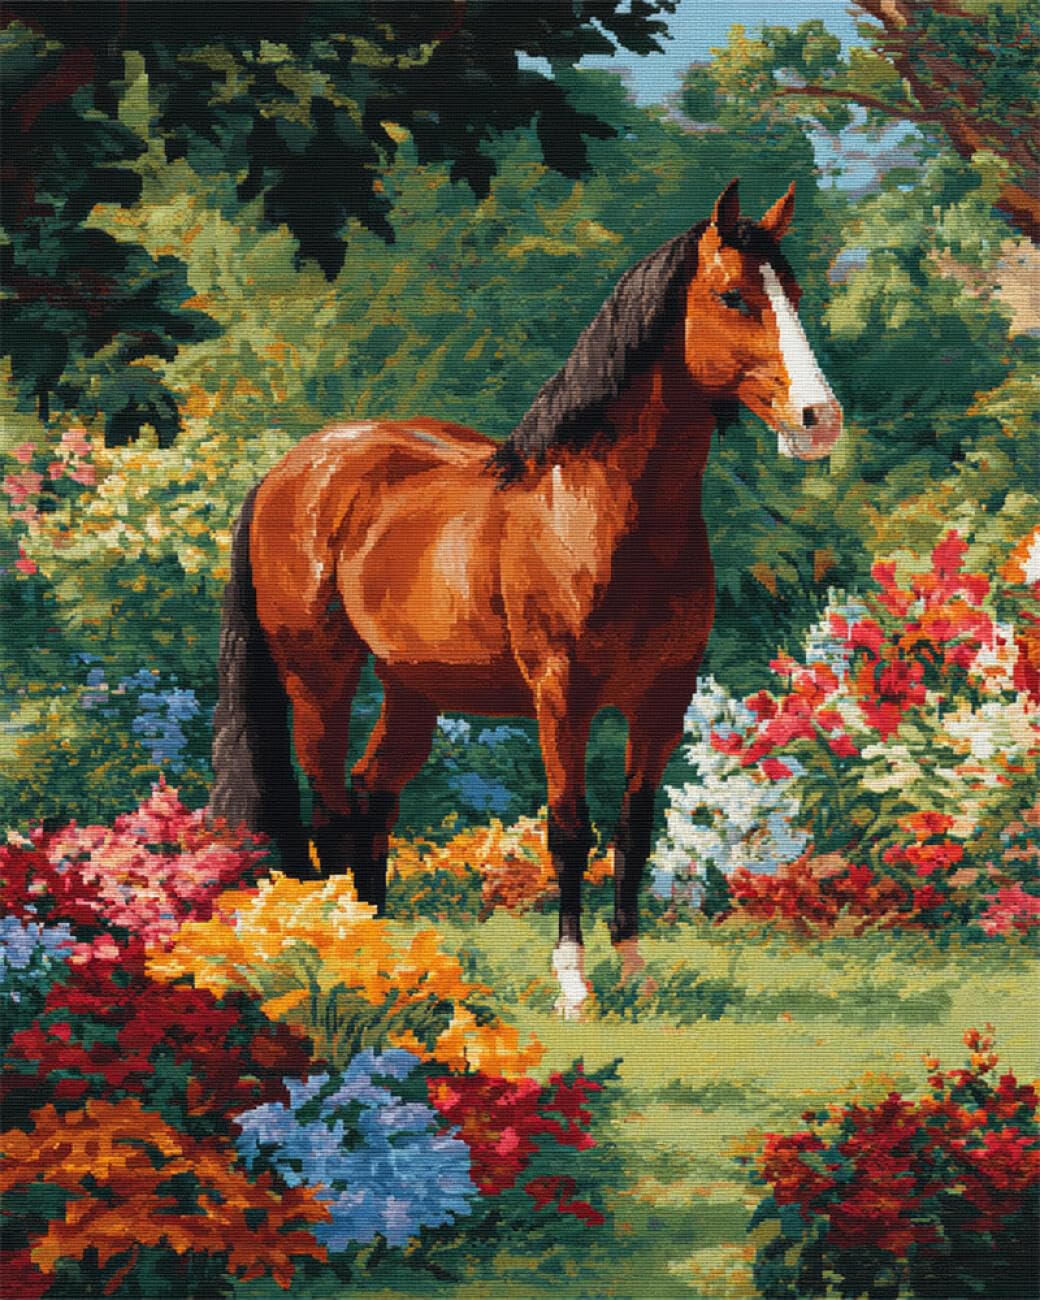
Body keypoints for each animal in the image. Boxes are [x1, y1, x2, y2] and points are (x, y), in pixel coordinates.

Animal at [209, 179, 842, 1018]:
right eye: (734, 296)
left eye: (793, 293)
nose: (819, 420)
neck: (602, 510)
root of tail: (294, 470)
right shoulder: (561, 697)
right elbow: (569, 831)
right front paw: (573, 984)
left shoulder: (662, 700)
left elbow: (634, 828)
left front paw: (633, 970)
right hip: (318, 679)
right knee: (331, 807)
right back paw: (326, 942)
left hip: (413, 689)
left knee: (372, 797)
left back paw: (377, 950)